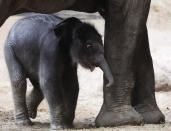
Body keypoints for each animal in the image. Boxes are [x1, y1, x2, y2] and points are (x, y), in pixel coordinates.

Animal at [0, 0, 166, 127]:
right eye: (88, 45)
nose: (107, 83)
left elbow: (72, 84)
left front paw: (68, 124)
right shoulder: (49, 50)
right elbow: (50, 82)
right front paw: (60, 127)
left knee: (37, 85)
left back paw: (31, 115)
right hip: (10, 49)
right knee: (20, 81)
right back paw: (24, 123)